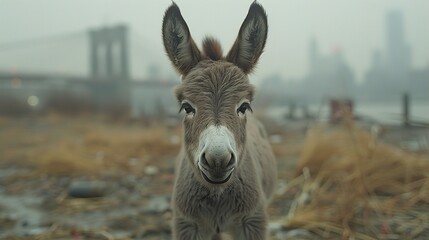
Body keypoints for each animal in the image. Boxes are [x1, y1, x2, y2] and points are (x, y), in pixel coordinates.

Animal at [161, 2, 278, 240]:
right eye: (186, 107)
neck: (217, 195)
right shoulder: (188, 224)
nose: (217, 160)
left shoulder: (252, 222)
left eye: (244, 106)